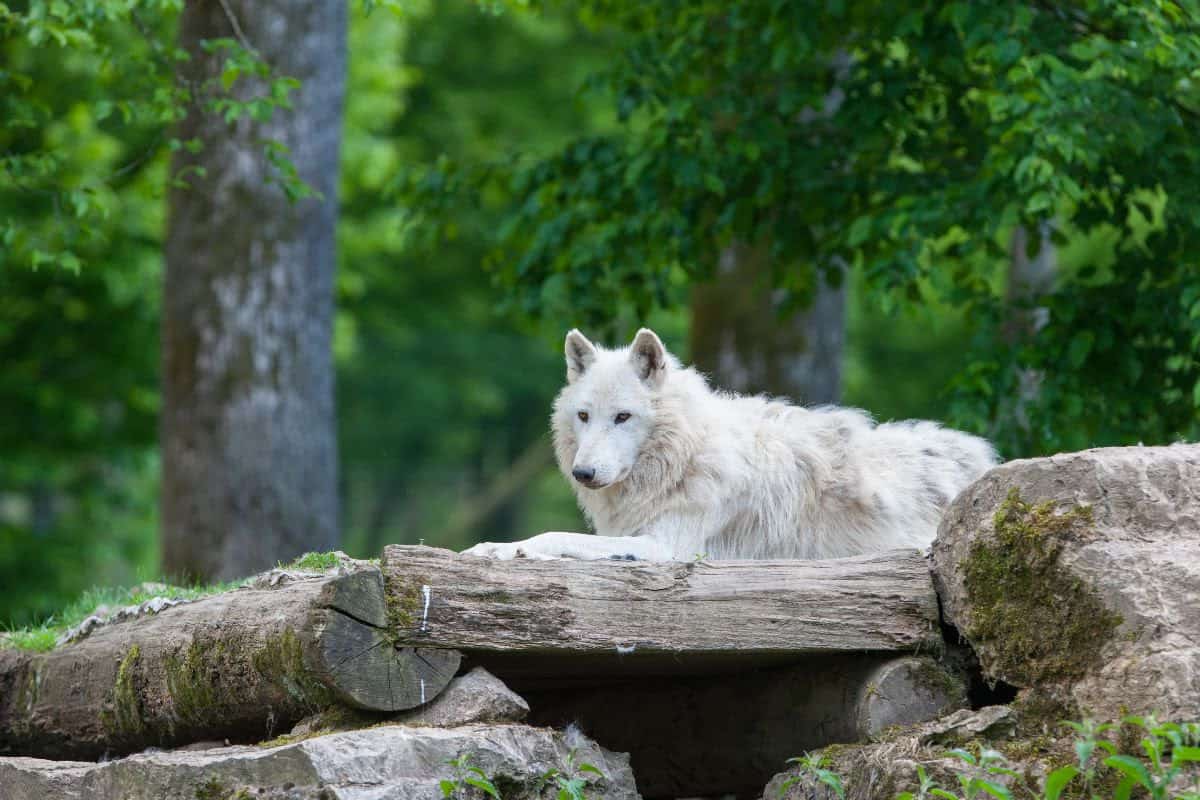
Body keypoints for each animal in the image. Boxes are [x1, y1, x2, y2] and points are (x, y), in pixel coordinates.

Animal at [463, 326, 998, 563]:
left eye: (623, 417)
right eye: (583, 416)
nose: (584, 474)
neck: (685, 456)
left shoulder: (665, 545)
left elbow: (554, 537)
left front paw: (497, 549)